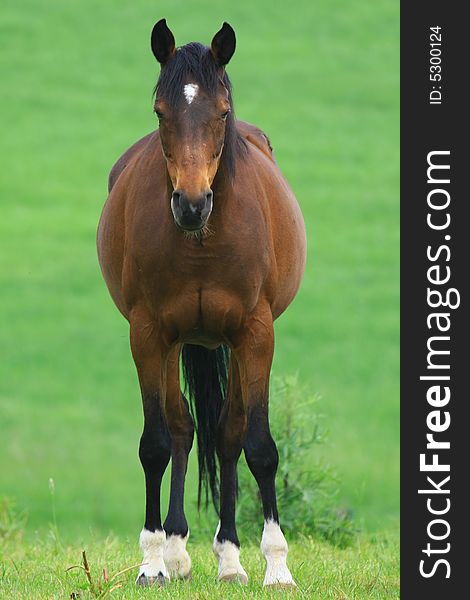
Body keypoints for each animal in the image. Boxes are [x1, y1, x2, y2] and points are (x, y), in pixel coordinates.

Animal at [97, 17, 306, 584]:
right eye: (160, 112)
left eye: (222, 112)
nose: (191, 204)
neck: (201, 243)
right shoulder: (148, 334)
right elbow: (156, 443)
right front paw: (152, 559)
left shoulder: (255, 333)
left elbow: (258, 446)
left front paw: (277, 566)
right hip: (175, 343)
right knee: (184, 430)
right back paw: (176, 552)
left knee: (226, 435)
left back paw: (230, 557)